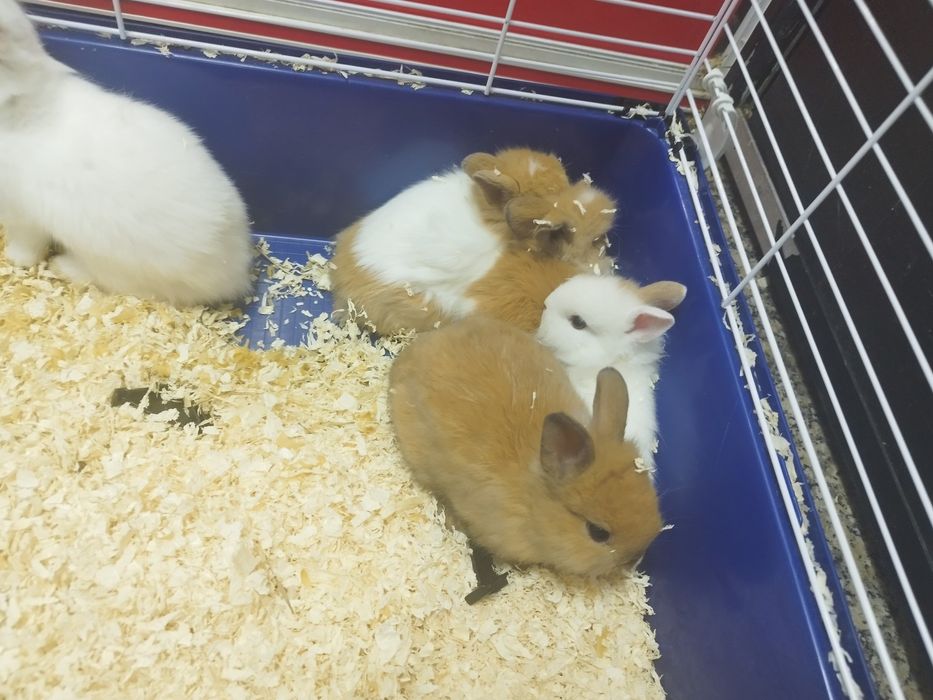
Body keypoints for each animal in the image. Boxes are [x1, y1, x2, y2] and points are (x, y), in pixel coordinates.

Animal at [0, 0, 253, 306]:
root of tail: (234, 274)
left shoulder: (19, 214)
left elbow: (27, 245)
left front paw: (14, 259)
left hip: (114, 263)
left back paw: (63, 265)